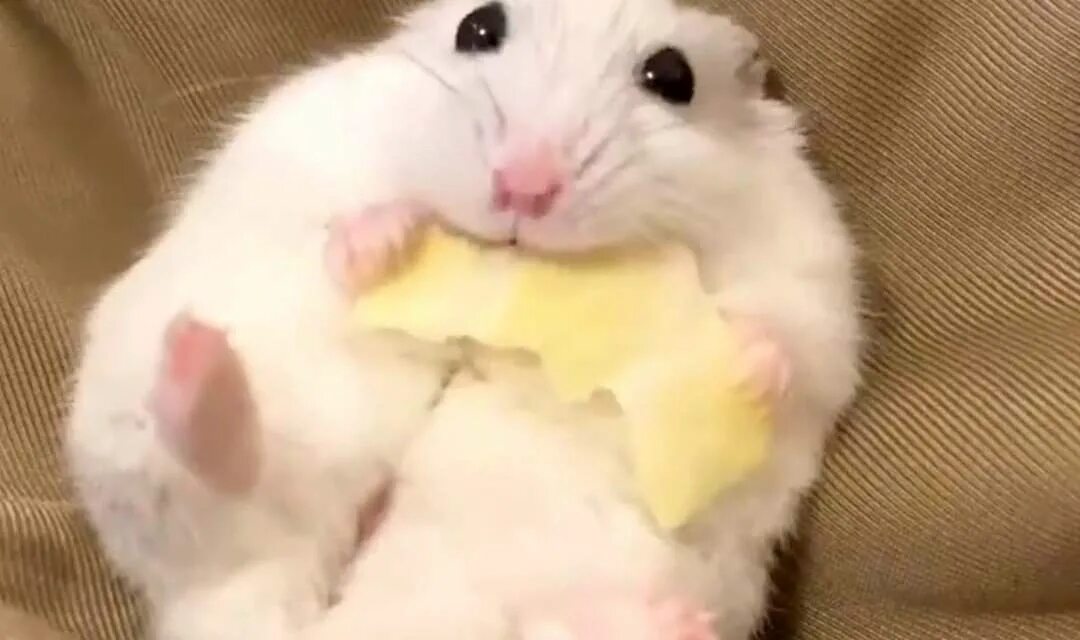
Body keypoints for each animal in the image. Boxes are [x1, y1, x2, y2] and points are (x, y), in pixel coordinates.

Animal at [297, 1, 862, 640]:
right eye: (477, 26)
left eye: (674, 77)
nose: (525, 187)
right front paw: (386, 239)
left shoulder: (817, 283)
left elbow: (792, 338)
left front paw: (740, 366)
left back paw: (680, 623)